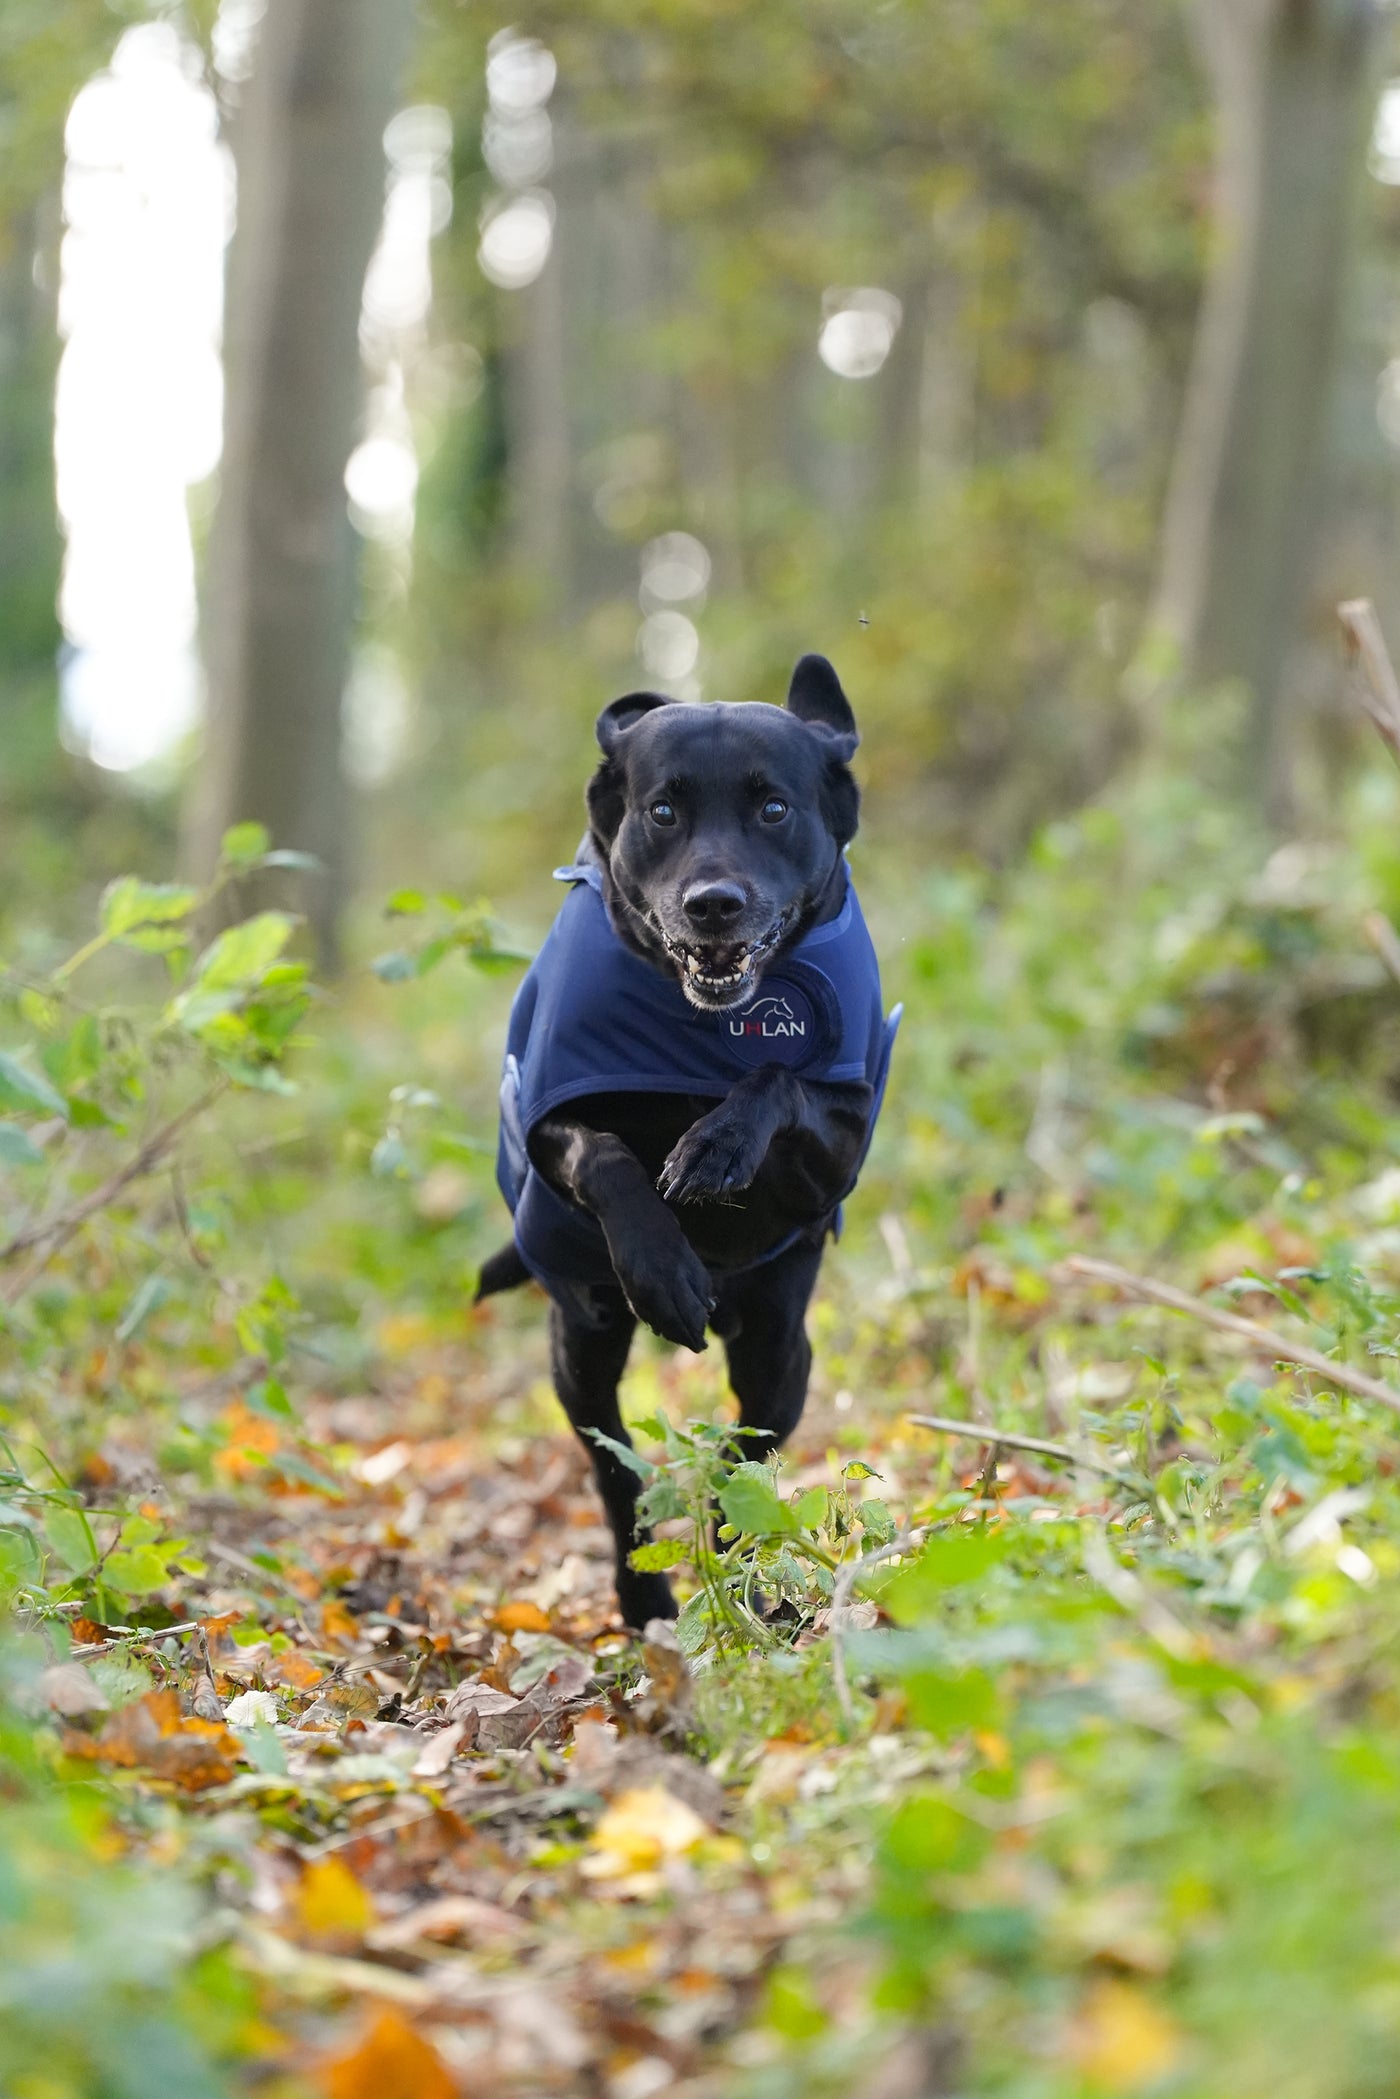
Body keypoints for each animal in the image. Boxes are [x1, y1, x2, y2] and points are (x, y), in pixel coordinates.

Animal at [478, 654, 898, 1620]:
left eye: (773, 808)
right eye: (663, 810)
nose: (714, 904)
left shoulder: (838, 1142)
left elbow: (777, 1075)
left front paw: (715, 1145)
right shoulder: (550, 1112)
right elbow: (603, 1152)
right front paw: (663, 1266)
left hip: (780, 1349)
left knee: (746, 1456)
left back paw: (741, 1582)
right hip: (582, 1345)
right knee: (613, 1468)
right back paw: (646, 1597)